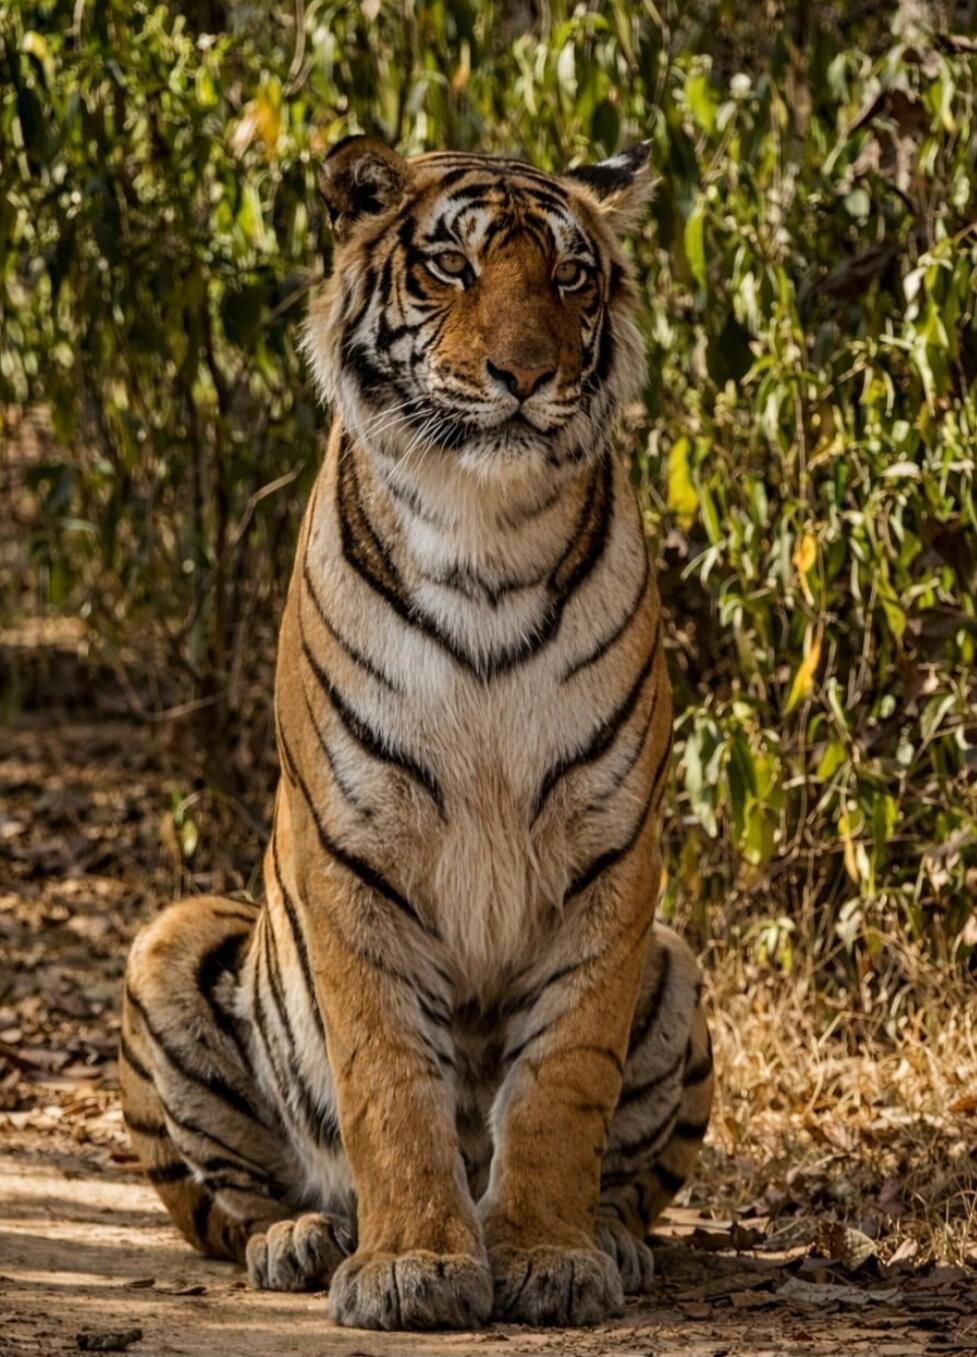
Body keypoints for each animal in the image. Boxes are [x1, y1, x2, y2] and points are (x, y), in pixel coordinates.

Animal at [119, 136, 714, 1331]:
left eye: (569, 278)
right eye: (452, 266)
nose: (524, 375)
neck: (486, 534)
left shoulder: (611, 849)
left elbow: (562, 1077)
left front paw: (545, 1254)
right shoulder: (354, 842)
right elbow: (388, 1074)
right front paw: (413, 1266)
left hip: (678, 966)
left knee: (630, 1178)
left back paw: (614, 1241)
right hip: (170, 939)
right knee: (228, 1204)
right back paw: (302, 1237)